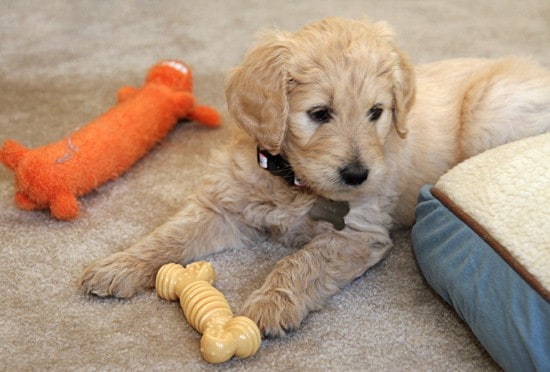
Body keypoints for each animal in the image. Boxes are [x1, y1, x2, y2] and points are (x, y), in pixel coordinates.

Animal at [81, 17, 550, 338]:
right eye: (319, 113)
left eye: (376, 112)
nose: (358, 175)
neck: (293, 181)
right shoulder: (223, 205)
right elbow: (171, 235)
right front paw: (121, 265)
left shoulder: (358, 233)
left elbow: (300, 262)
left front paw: (272, 304)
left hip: (488, 113)